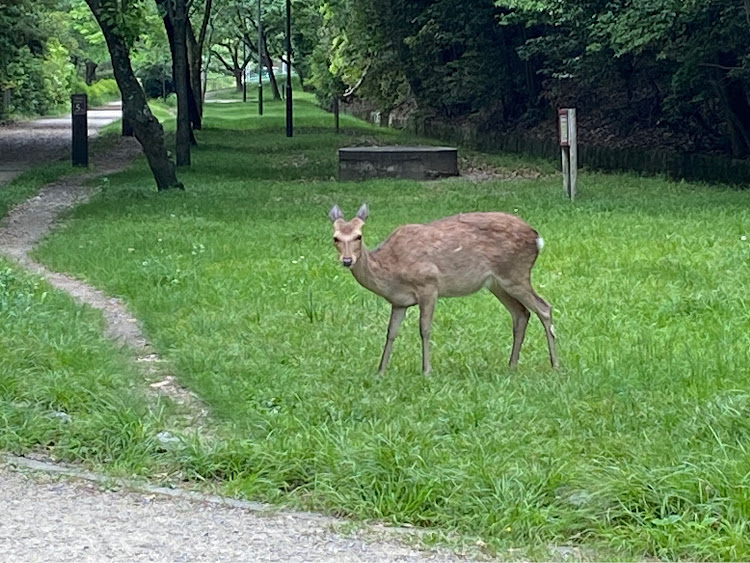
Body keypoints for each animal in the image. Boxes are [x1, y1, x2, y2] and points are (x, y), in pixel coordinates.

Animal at [328, 205, 560, 376]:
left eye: (359, 236)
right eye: (335, 238)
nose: (347, 260)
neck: (390, 270)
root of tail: (537, 239)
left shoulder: (428, 284)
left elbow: (424, 329)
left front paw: (426, 371)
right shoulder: (399, 301)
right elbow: (391, 332)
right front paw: (380, 371)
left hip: (516, 274)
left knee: (544, 307)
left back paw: (555, 365)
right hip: (497, 283)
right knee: (521, 313)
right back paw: (511, 365)